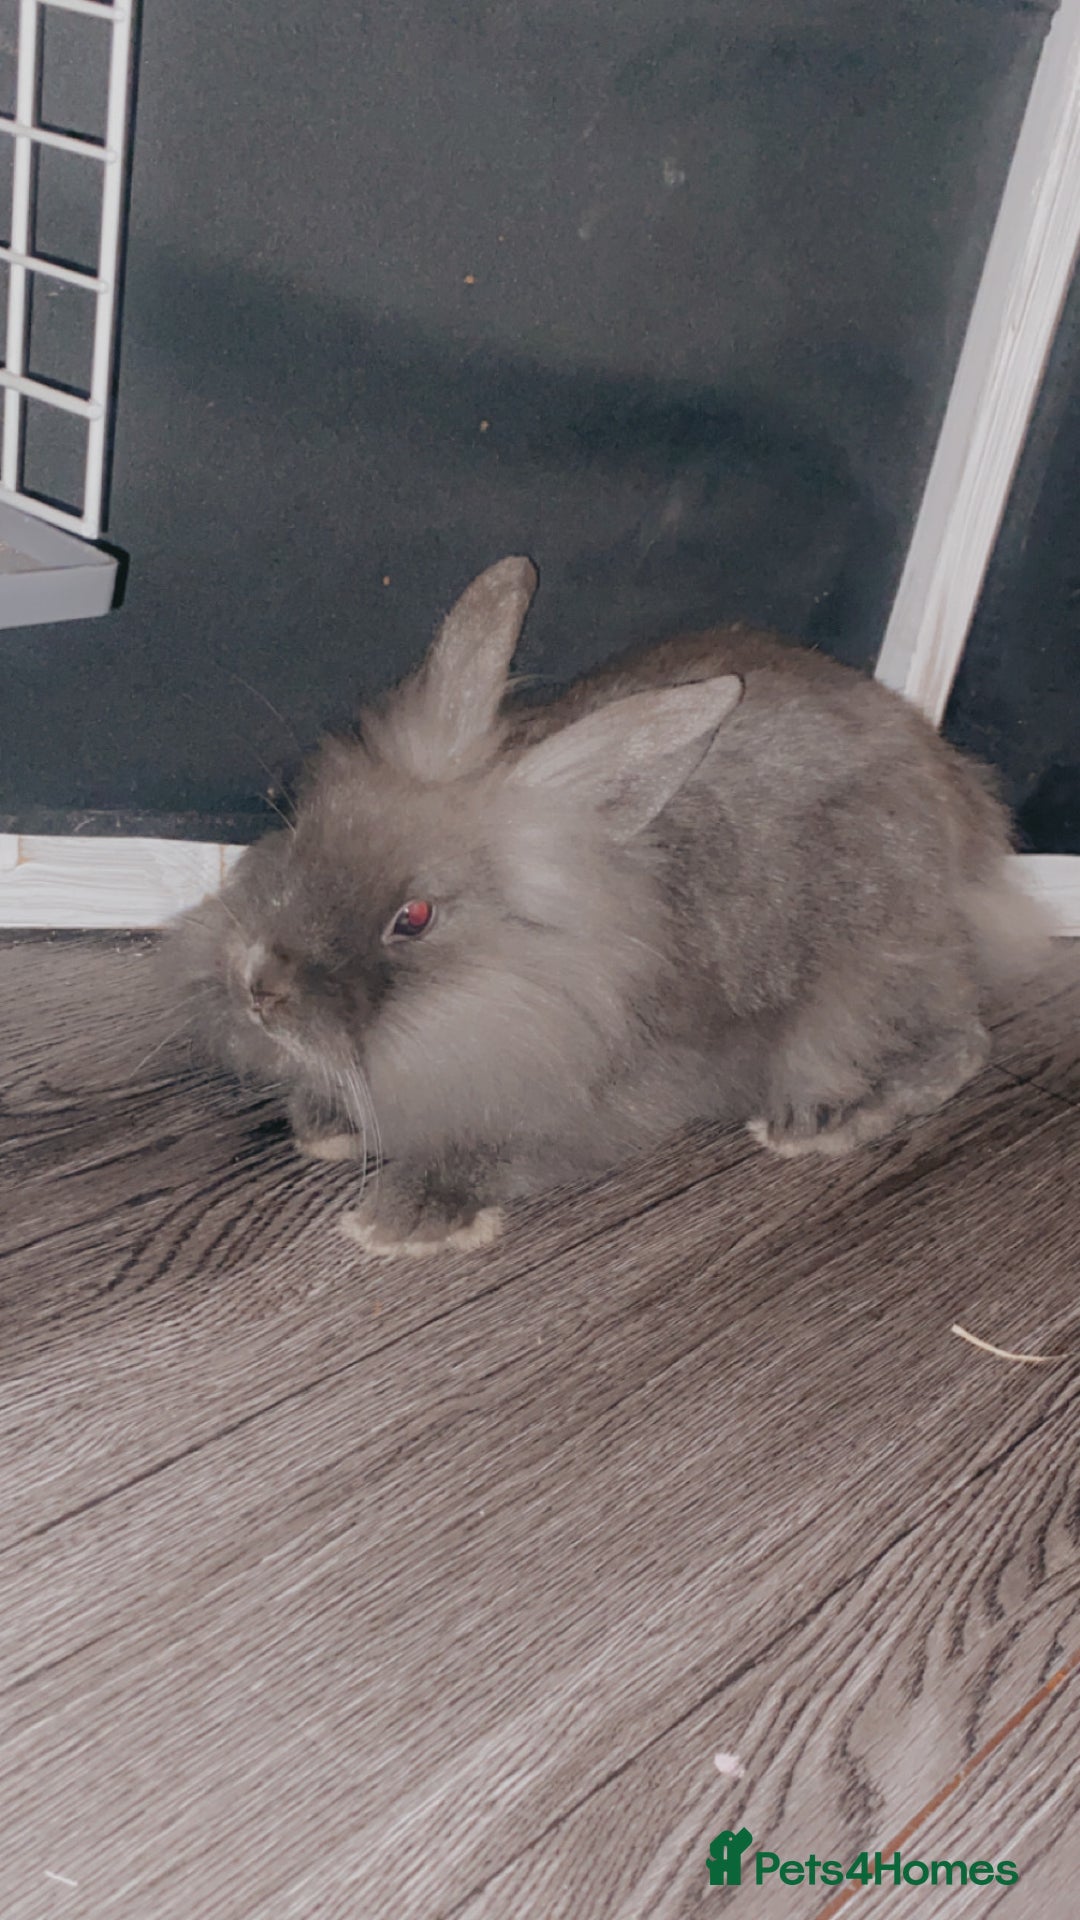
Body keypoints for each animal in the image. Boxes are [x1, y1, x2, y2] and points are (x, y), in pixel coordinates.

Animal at [167, 555, 1046, 1257]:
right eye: (303, 826)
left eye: (412, 918)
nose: (259, 989)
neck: (504, 981)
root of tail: (962, 813)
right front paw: (324, 1125)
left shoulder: (586, 1105)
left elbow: (499, 1149)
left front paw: (403, 1222)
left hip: (868, 978)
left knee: (960, 1043)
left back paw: (821, 1124)